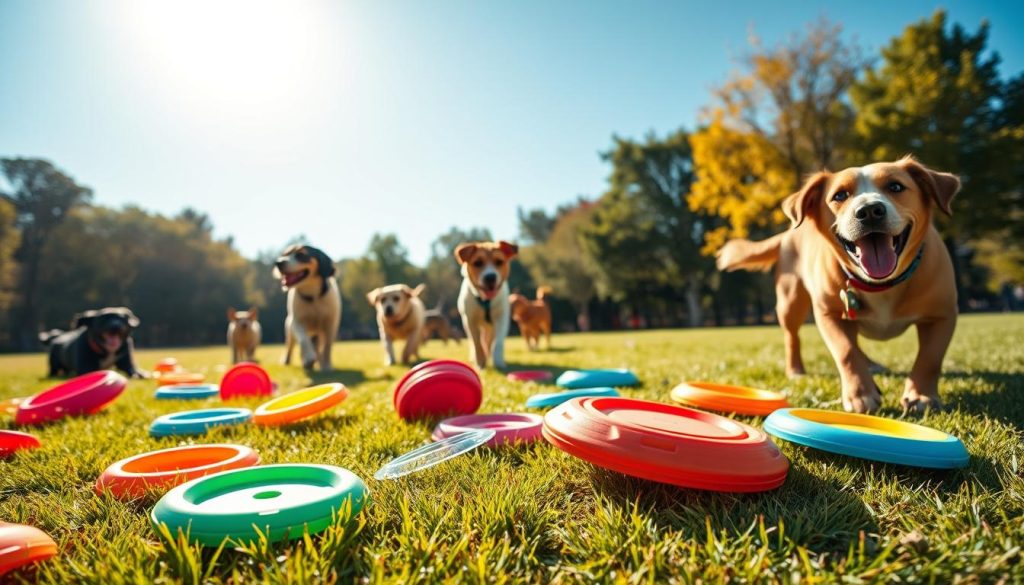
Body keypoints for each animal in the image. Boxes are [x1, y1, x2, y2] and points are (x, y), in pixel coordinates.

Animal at [272, 244, 339, 372]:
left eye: (301, 255)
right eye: (284, 254)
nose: (278, 262)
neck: (313, 297)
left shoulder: (330, 324)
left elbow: (327, 347)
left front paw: (326, 366)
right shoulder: (296, 321)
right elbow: (303, 339)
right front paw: (308, 358)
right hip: (289, 328)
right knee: (290, 345)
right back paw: (289, 360)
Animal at [456, 238, 520, 368]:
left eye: (499, 262)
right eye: (478, 263)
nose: (490, 277)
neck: (486, 300)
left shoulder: (501, 317)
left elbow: (498, 342)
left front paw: (498, 361)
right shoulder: (469, 319)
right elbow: (476, 342)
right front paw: (480, 361)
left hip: (490, 327)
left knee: (489, 340)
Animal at [720, 155, 958, 411]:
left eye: (895, 187)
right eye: (839, 195)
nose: (870, 211)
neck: (880, 284)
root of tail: (788, 233)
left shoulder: (942, 315)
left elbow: (930, 358)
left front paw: (921, 395)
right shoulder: (829, 314)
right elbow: (845, 351)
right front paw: (860, 394)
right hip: (790, 302)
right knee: (792, 337)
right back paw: (796, 370)